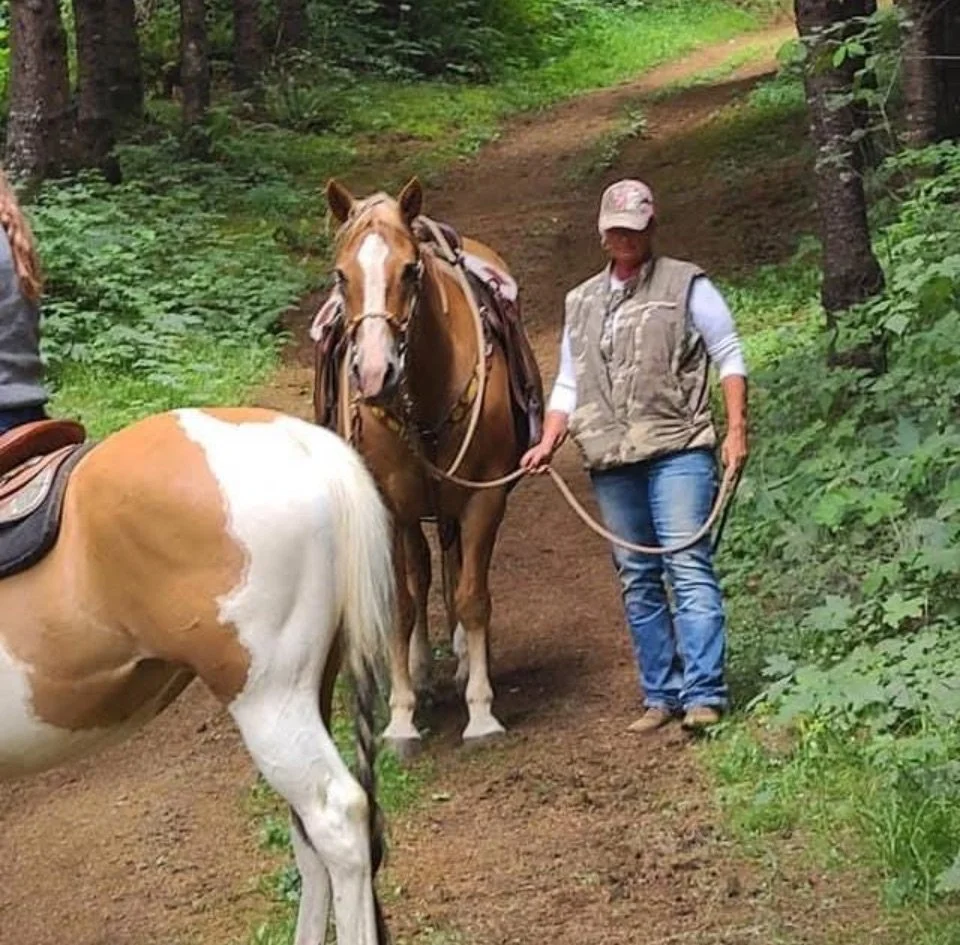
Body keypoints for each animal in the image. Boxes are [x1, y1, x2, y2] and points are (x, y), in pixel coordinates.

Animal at [320, 176, 543, 756]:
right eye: (341, 275)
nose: (375, 373)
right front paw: (401, 719)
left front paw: (481, 711)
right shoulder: (391, 504)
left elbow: (472, 597)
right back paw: (421, 670)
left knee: (452, 566)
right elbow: (401, 604)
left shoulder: (483, 496)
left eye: (410, 270)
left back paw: (462, 659)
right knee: (420, 575)